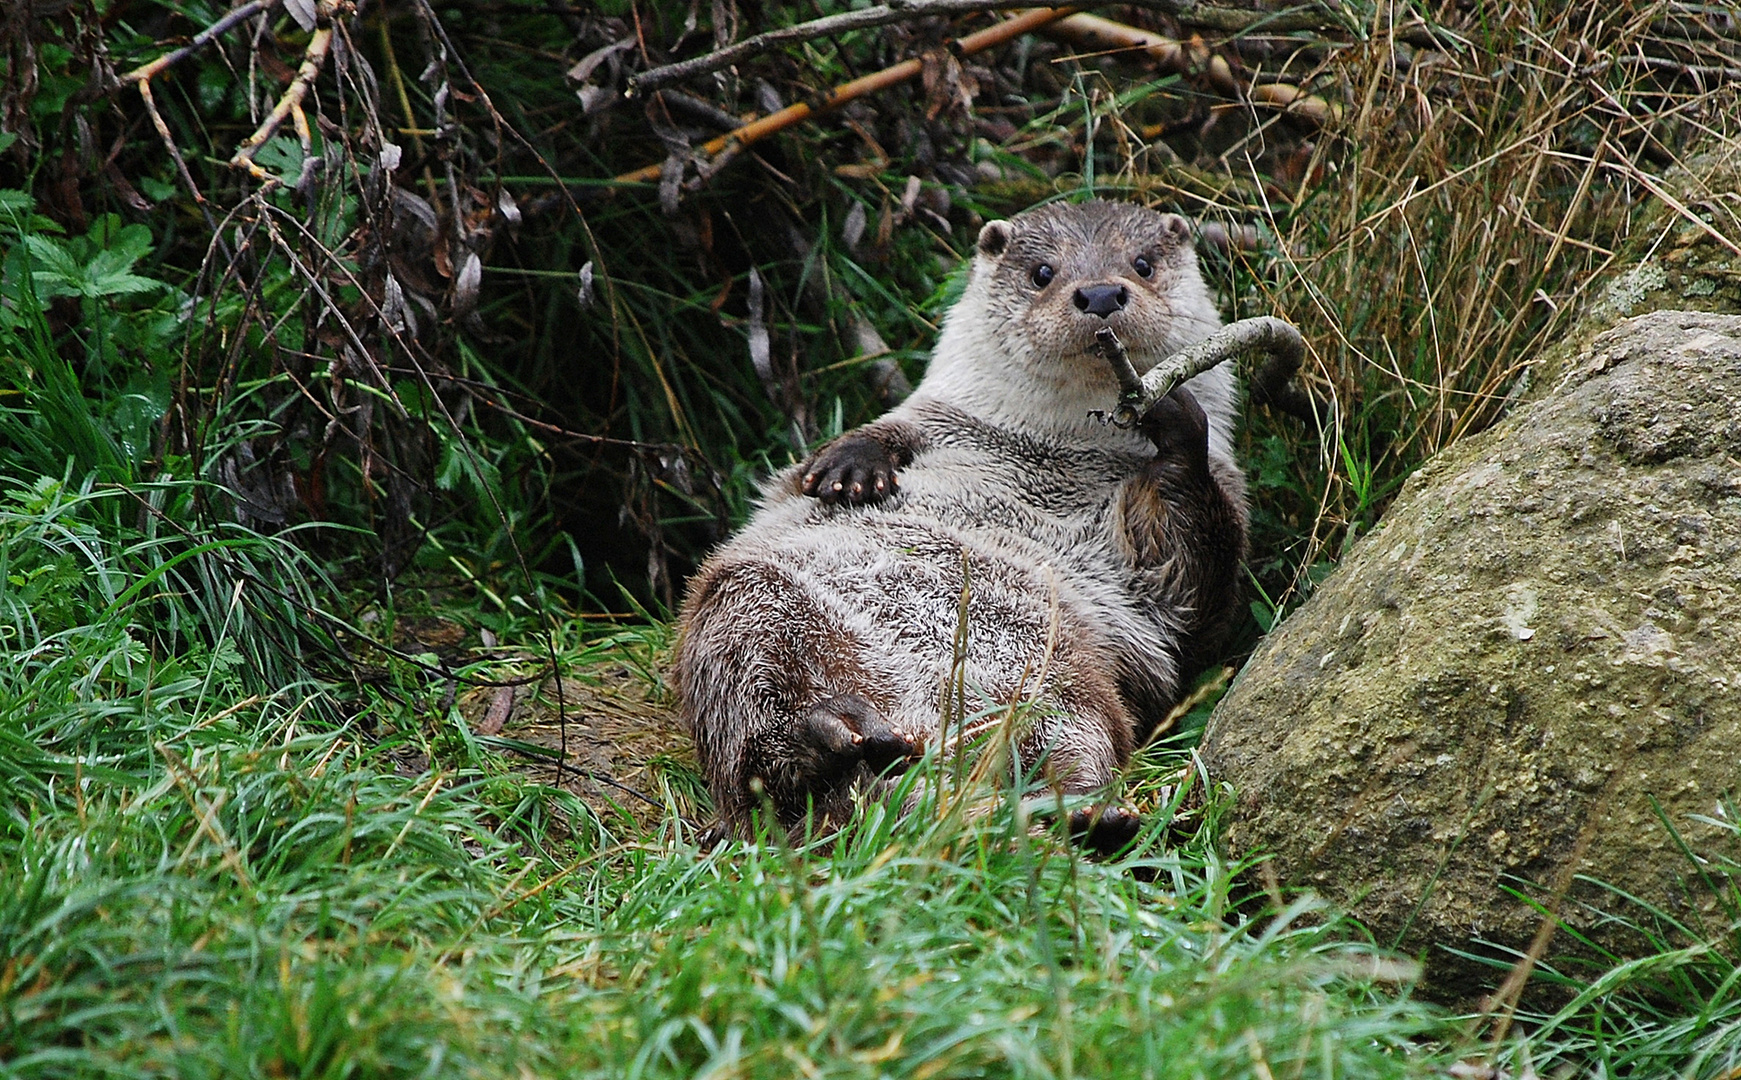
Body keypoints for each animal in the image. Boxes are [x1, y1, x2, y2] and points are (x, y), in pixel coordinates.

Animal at [672, 202, 1246, 843]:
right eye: (1043, 273)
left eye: (1142, 264)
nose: (1100, 293)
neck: (1053, 452)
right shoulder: (936, 419)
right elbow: (869, 439)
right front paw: (851, 467)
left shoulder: (1185, 535)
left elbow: (1193, 591)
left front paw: (1173, 415)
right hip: (746, 609)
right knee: (751, 753)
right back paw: (829, 739)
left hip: (1058, 672)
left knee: (1077, 739)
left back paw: (1091, 813)